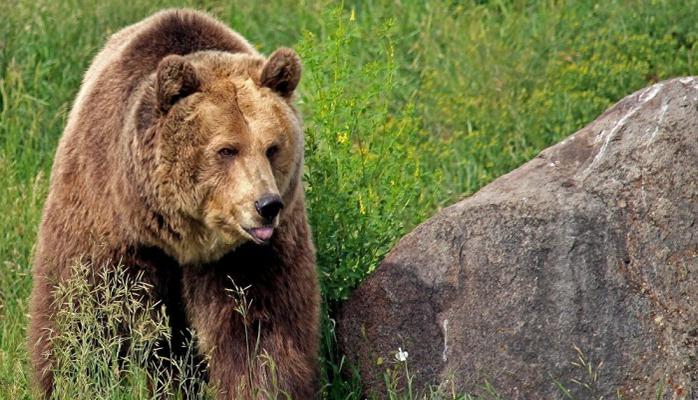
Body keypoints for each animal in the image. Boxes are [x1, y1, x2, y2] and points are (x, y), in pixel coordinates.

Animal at [27, 7, 320, 398]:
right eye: (226, 149)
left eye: (272, 147)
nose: (266, 205)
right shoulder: (107, 218)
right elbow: (84, 315)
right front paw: (76, 380)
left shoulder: (250, 256)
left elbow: (260, 331)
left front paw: (266, 384)